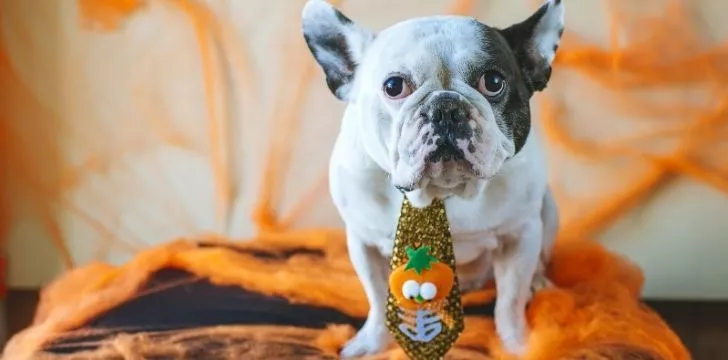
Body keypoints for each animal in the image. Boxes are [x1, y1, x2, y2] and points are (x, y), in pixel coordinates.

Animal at [302, 0, 564, 358]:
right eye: (393, 86)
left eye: (493, 81)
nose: (446, 107)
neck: (443, 191)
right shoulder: (363, 241)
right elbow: (376, 297)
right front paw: (372, 344)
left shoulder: (520, 235)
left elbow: (510, 301)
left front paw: (517, 345)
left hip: (547, 212)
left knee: (538, 263)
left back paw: (538, 282)